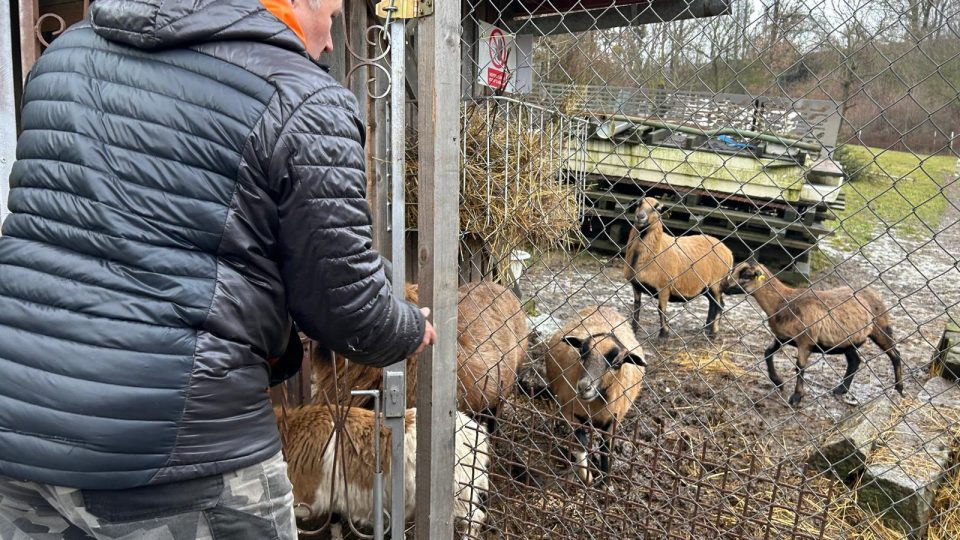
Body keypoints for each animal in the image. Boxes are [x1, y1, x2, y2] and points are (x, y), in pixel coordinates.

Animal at [548, 306, 644, 484]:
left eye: (617, 363)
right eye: (582, 352)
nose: (584, 387)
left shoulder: (614, 420)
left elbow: (606, 448)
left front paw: (606, 482)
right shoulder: (571, 413)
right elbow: (581, 444)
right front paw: (586, 477)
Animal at [624, 196, 736, 340]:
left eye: (657, 208)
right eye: (638, 204)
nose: (640, 216)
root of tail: (728, 251)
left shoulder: (664, 287)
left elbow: (661, 309)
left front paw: (664, 335)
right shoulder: (636, 285)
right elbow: (636, 307)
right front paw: (633, 330)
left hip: (717, 282)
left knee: (719, 305)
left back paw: (714, 332)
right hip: (707, 286)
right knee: (713, 304)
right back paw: (706, 328)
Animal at [724, 260, 904, 404]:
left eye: (746, 275)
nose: (724, 287)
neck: (783, 302)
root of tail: (874, 293)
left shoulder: (806, 341)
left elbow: (800, 367)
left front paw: (796, 397)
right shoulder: (782, 337)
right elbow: (767, 352)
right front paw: (778, 382)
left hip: (881, 328)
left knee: (895, 355)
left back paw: (899, 389)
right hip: (848, 341)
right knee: (855, 361)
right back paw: (841, 389)